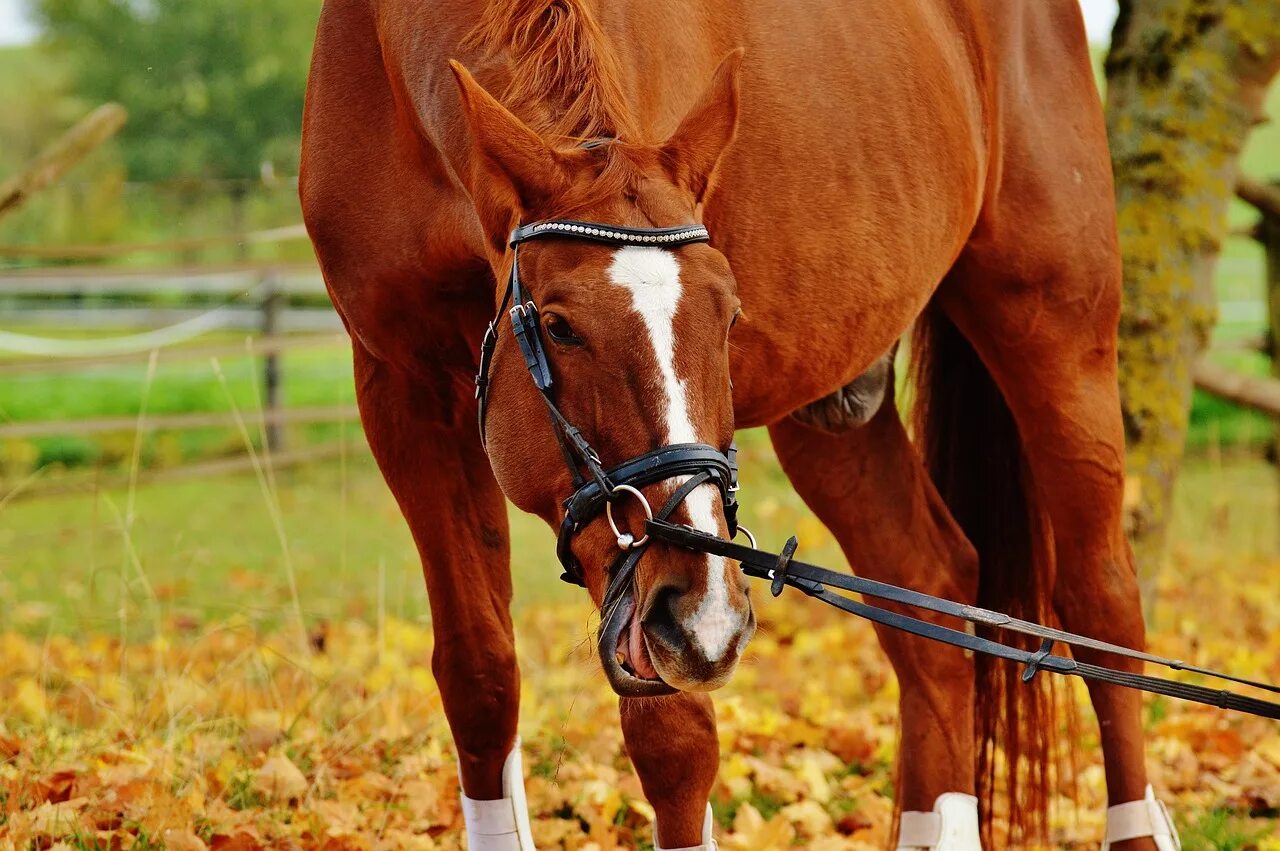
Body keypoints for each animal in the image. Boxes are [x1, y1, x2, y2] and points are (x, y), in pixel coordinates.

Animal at [299, 1, 1177, 849]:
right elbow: (480, 676)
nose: (704, 614)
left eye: (728, 315)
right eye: (558, 327)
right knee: (932, 591)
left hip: (1056, 330)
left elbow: (674, 736)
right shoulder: (403, 391)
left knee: (1101, 604)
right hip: (827, 417)